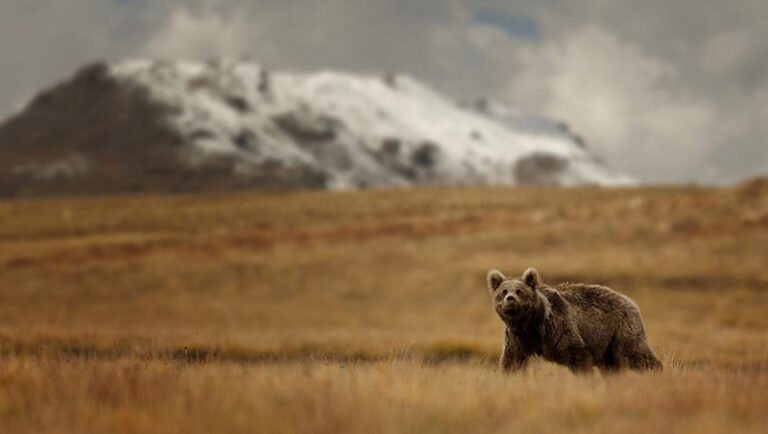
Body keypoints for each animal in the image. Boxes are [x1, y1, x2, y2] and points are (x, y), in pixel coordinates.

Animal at [486, 267, 662, 373]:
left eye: (519, 291)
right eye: (503, 291)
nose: (510, 299)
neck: (531, 323)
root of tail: (629, 300)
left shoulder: (557, 325)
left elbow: (576, 353)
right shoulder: (518, 337)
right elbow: (512, 360)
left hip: (621, 327)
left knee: (635, 352)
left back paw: (656, 371)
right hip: (607, 345)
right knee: (611, 366)